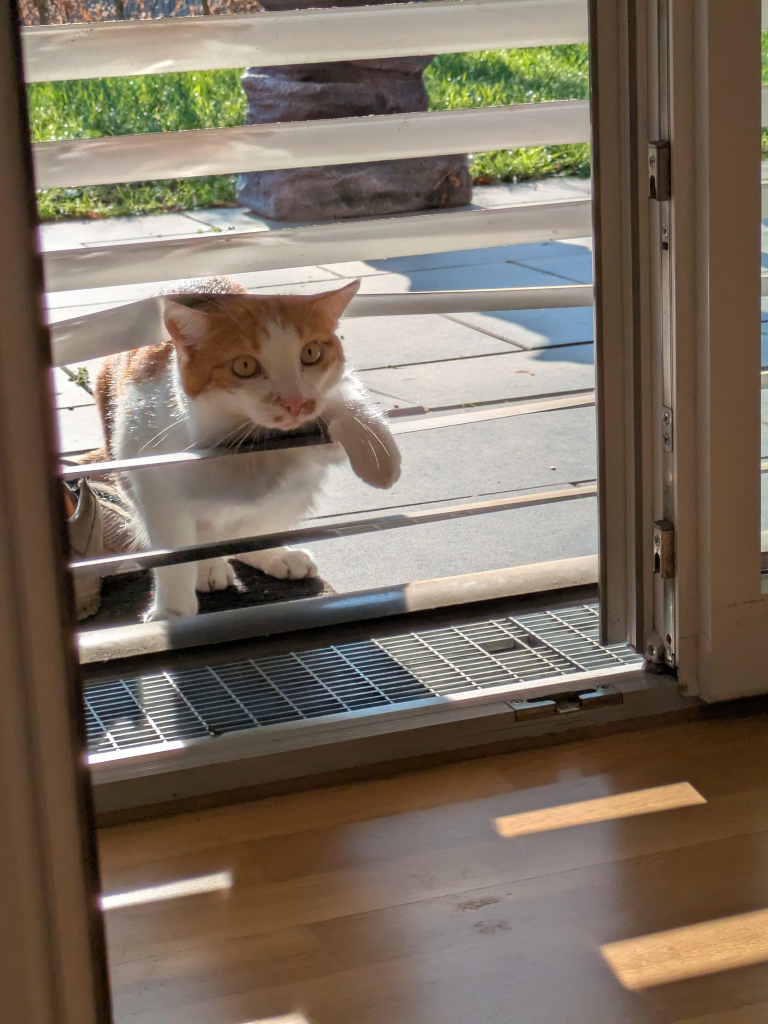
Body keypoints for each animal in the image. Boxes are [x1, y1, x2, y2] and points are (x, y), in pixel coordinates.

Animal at [96, 276, 403, 618]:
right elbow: (175, 548)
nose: (296, 402)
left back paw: (273, 554)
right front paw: (172, 613)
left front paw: (378, 452)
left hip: (297, 491)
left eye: (311, 352)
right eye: (244, 365)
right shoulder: (151, 471)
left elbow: (342, 397)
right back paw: (208, 567)